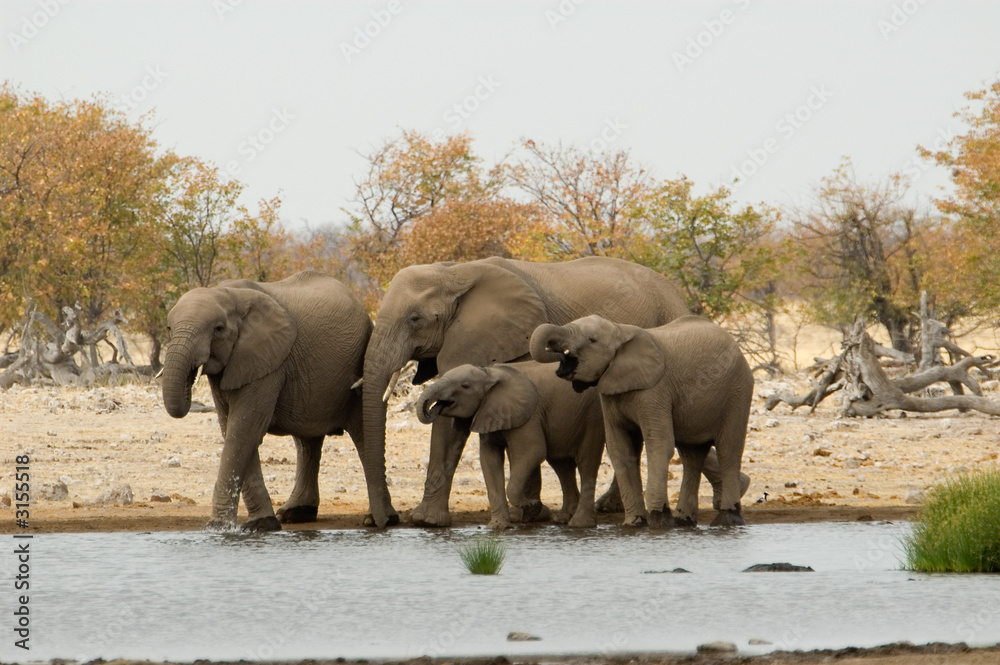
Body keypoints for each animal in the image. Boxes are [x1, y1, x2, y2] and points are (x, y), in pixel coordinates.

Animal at [160, 270, 391, 531]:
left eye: (218, 329)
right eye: (169, 328)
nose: (192, 374)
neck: (228, 293)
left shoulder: (268, 362)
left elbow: (245, 428)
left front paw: (219, 527)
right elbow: (233, 429)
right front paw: (260, 524)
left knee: (363, 435)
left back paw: (377, 519)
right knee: (307, 443)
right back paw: (295, 514)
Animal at [416, 362, 605, 529]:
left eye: (465, 386)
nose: (433, 408)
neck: (488, 373)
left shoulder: (528, 414)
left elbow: (533, 451)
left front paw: (532, 507)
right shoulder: (488, 412)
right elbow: (489, 460)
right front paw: (497, 527)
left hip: (593, 415)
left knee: (586, 463)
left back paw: (579, 524)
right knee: (561, 464)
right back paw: (564, 518)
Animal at [531, 314, 753, 528]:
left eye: (591, 340)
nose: (560, 356)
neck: (620, 330)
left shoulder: (655, 390)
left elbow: (659, 445)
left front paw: (659, 522)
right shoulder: (611, 395)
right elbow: (620, 450)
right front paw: (634, 523)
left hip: (738, 391)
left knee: (728, 450)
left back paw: (726, 520)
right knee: (692, 456)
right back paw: (684, 522)